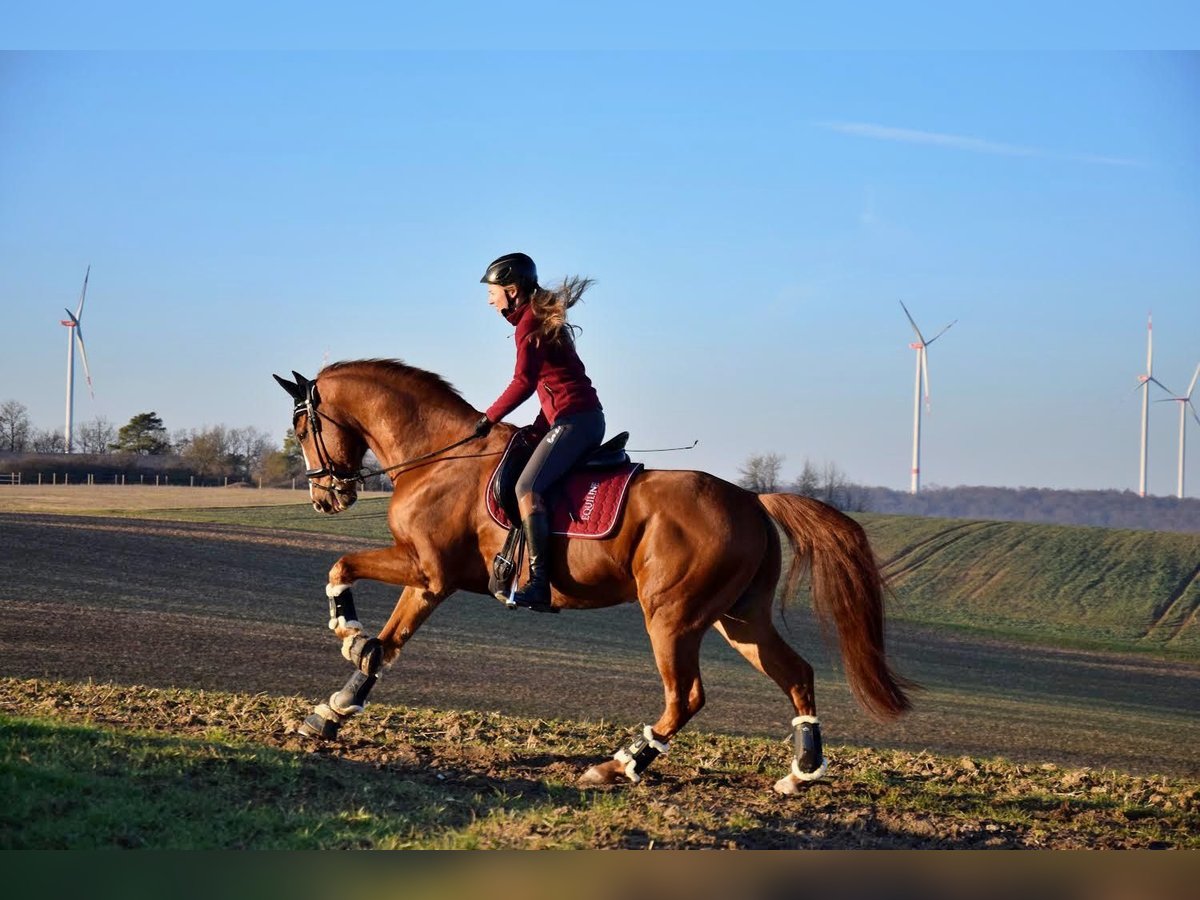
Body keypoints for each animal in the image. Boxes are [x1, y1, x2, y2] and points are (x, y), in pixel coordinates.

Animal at [274, 362, 907, 796]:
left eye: (302, 426)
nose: (325, 497)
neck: (436, 457)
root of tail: (752, 499)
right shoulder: (429, 579)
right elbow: (385, 645)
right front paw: (331, 712)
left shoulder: (428, 570)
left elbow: (343, 571)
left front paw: (345, 630)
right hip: (739, 619)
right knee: (796, 673)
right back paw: (801, 774)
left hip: (672, 618)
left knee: (686, 696)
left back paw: (618, 764)